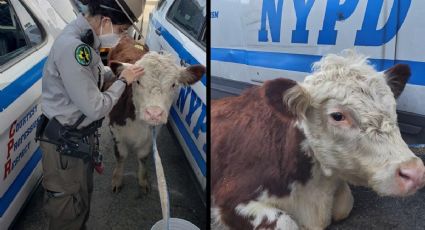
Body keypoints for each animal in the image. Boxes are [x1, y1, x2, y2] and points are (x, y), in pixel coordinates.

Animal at [106, 36, 205, 193]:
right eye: (137, 81)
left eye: (174, 84)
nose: (154, 113)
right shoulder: (117, 132)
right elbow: (121, 156)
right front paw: (117, 180)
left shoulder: (151, 136)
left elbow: (143, 157)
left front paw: (143, 180)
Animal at [211, 51, 424, 230]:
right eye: (337, 116)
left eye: (393, 107)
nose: (415, 172)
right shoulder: (230, 197)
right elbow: (287, 223)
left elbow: (345, 204)